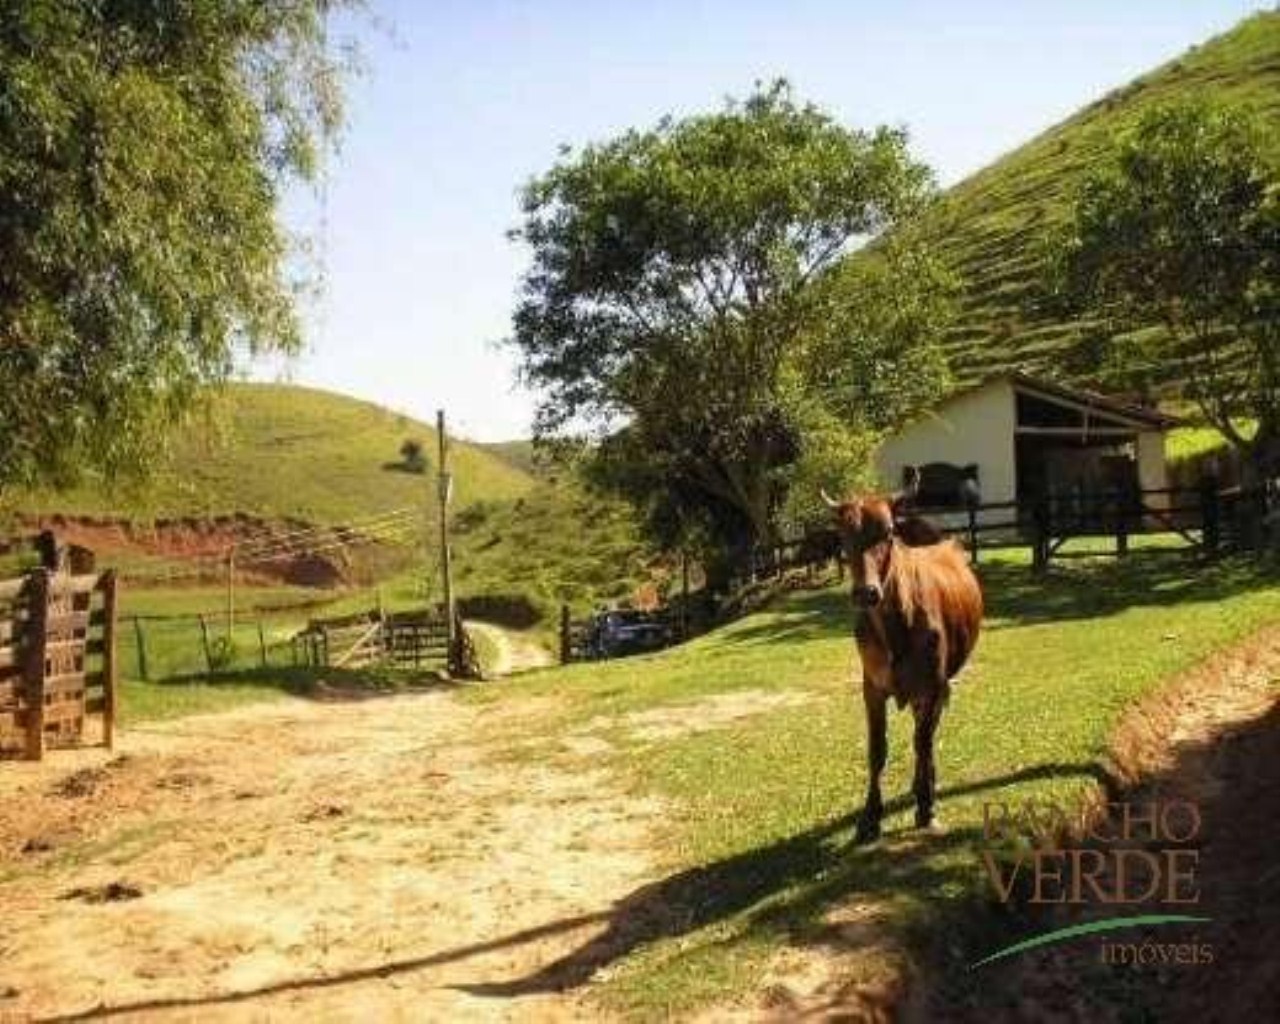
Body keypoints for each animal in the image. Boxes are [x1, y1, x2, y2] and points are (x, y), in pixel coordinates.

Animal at [824, 491, 983, 844]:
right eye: (843, 535)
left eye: (887, 532)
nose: (865, 592)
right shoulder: (872, 688)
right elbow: (877, 750)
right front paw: (870, 816)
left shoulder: (932, 686)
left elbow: (921, 742)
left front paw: (926, 806)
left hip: (940, 686)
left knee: (927, 734)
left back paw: (927, 784)